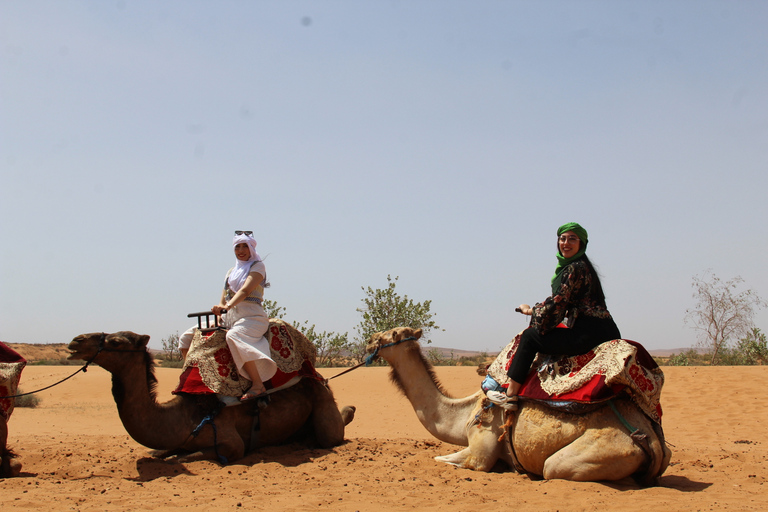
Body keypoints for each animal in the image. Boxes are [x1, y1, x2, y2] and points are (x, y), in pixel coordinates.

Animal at [67, 328, 356, 464]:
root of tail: (321, 379)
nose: (76, 341)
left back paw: (345, 413)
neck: (184, 415)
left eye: (116, 342)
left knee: (331, 434)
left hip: (322, 406)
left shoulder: (231, 443)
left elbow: (182, 457)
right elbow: (157, 452)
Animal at [366, 328, 672, 484]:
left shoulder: (481, 449)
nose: (369, 340)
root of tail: (649, 436)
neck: (464, 413)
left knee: (554, 469)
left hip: (595, 453)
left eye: (393, 334)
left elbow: (444, 459)